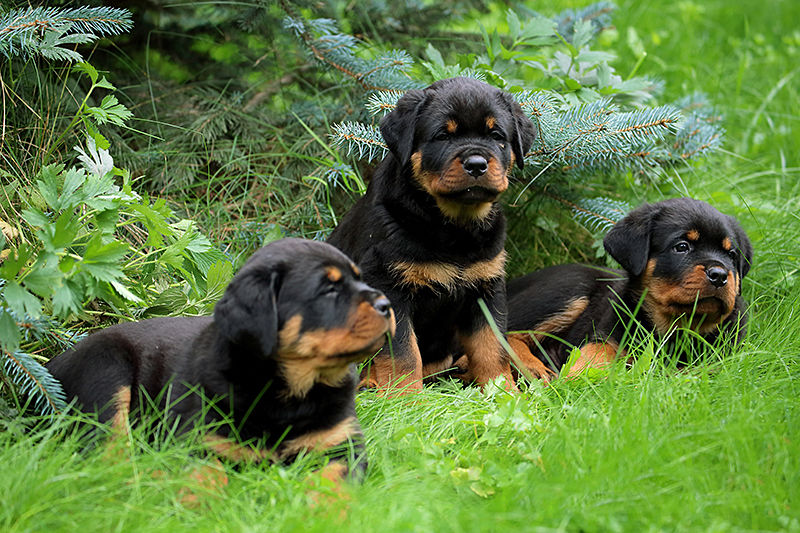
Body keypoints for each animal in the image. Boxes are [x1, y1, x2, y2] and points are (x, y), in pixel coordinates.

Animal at [324, 76, 536, 390]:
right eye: (442, 136)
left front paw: (503, 391)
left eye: (496, 135)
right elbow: (403, 353)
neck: (454, 227)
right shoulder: (389, 286)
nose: (477, 164)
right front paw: (406, 395)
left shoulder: (487, 287)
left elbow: (491, 345)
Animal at [510, 197, 752, 380]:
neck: (674, 327)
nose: (720, 275)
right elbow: (597, 351)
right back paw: (534, 368)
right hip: (570, 288)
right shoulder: (607, 331)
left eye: (731, 255)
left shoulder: (723, 356)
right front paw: (577, 376)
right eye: (682, 247)